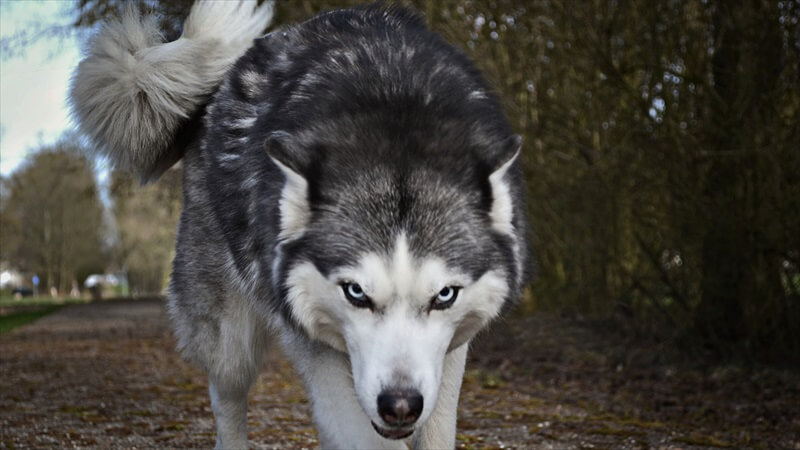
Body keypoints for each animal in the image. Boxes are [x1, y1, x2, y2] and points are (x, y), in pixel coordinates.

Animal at [72, 1, 528, 448]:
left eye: (445, 295)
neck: (395, 114)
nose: (400, 405)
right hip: (229, 340)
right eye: (355, 292)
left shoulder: (449, 354)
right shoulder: (313, 342)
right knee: (227, 400)